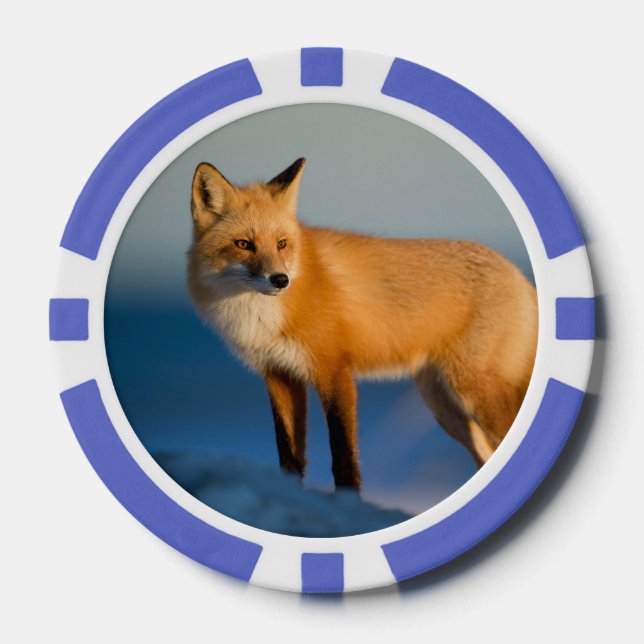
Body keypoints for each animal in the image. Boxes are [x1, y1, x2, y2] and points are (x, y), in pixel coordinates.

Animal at [187, 158, 538, 492]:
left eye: (282, 244)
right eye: (243, 244)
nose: (280, 280)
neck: (260, 315)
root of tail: (519, 275)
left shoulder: (334, 371)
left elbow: (343, 459)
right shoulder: (279, 376)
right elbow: (289, 457)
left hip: (473, 392)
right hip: (445, 407)